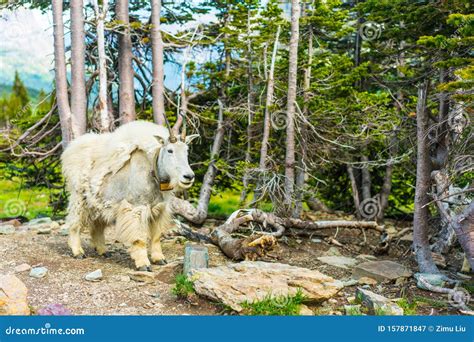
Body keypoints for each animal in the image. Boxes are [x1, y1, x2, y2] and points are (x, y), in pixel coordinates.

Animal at [61, 120, 198, 270]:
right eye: (170, 150)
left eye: (186, 150)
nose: (189, 176)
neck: (152, 170)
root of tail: (72, 148)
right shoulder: (136, 208)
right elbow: (139, 238)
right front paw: (143, 264)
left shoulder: (159, 209)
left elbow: (156, 236)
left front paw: (159, 259)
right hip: (79, 197)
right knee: (74, 222)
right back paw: (78, 252)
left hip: (100, 201)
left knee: (98, 226)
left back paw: (103, 251)